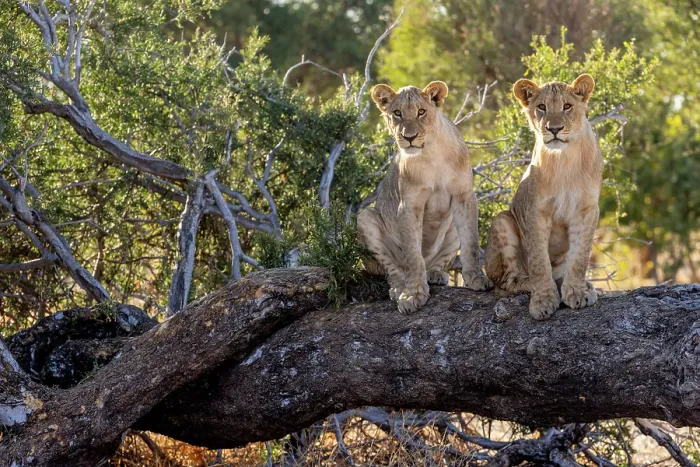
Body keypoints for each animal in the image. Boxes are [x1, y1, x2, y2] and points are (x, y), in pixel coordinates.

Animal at [357, 81, 492, 314]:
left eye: (421, 112)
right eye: (397, 113)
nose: (409, 137)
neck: (431, 153)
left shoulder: (464, 197)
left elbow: (471, 244)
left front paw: (477, 280)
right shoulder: (409, 205)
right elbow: (413, 255)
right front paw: (412, 295)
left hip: (451, 227)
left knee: (437, 261)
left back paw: (436, 274)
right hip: (365, 218)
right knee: (394, 270)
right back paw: (398, 288)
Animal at [484, 74, 603, 320]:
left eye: (567, 106)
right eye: (541, 107)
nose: (554, 128)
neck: (564, 159)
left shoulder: (587, 209)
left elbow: (580, 257)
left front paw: (577, 292)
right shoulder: (535, 211)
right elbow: (539, 260)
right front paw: (543, 300)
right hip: (502, 221)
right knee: (505, 284)